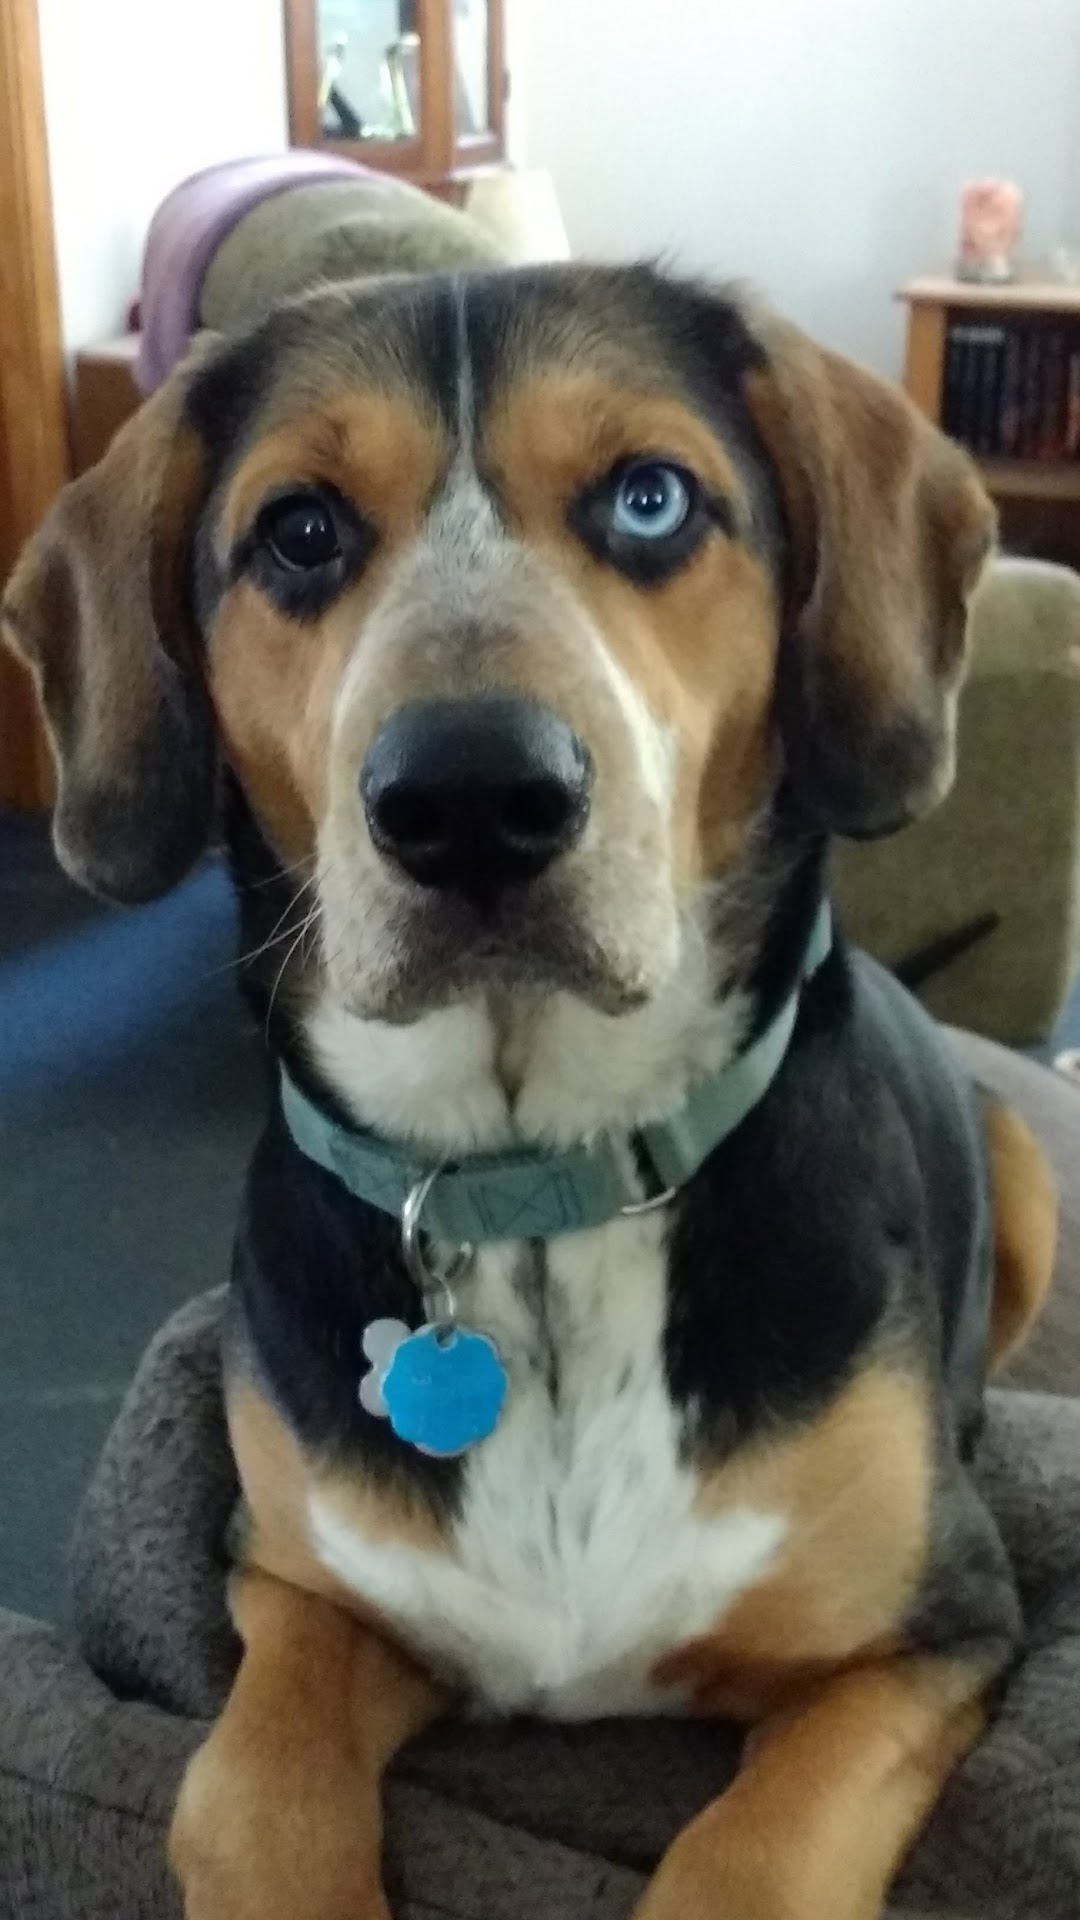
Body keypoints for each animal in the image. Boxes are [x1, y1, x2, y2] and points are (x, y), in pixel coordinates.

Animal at [3, 252, 1057, 1920]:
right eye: (301, 530)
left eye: (650, 499)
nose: (471, 795)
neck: (533, 1187)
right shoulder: (295, 1596)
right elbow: (247, 1800)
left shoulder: (934, 1638)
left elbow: (748, 1863)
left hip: (1022, 1179)